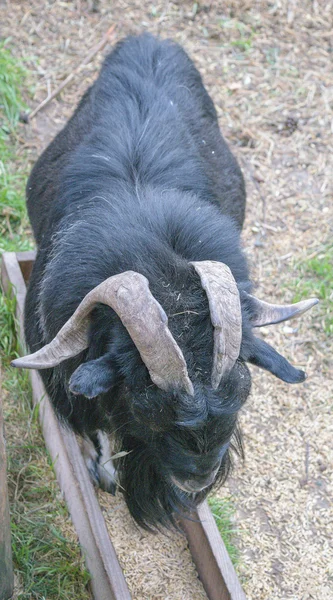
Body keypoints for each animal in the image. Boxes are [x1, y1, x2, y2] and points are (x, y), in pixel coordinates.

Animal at [14, 34, 316, 528]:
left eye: (241, 381)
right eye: (147, 395)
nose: (198, 477)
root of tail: (150, 41)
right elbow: (97, 427)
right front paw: (106, 473)